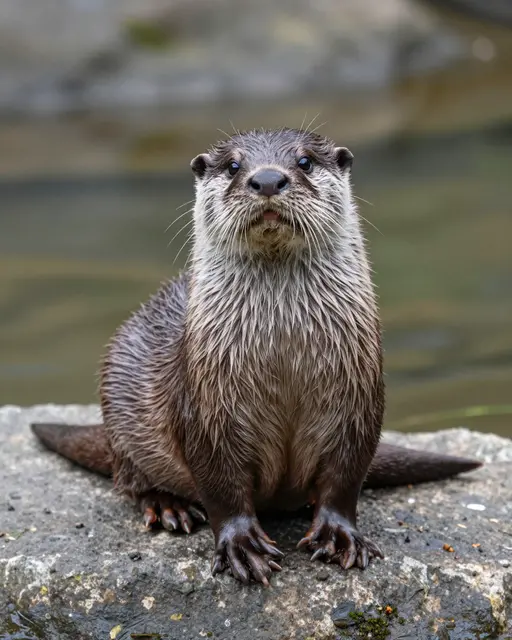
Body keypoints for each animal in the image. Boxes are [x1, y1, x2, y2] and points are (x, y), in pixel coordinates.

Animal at [31, 128, 481, 586]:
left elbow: (345, 477)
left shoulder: (358, 398)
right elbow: (221, 487)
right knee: (129, 479)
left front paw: (339, 534)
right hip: (118, 400)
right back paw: (168, 506)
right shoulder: (205, 408)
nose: (266, 179)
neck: (282, 351)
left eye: (304, 161)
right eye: (233, 165)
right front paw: (241, 546)